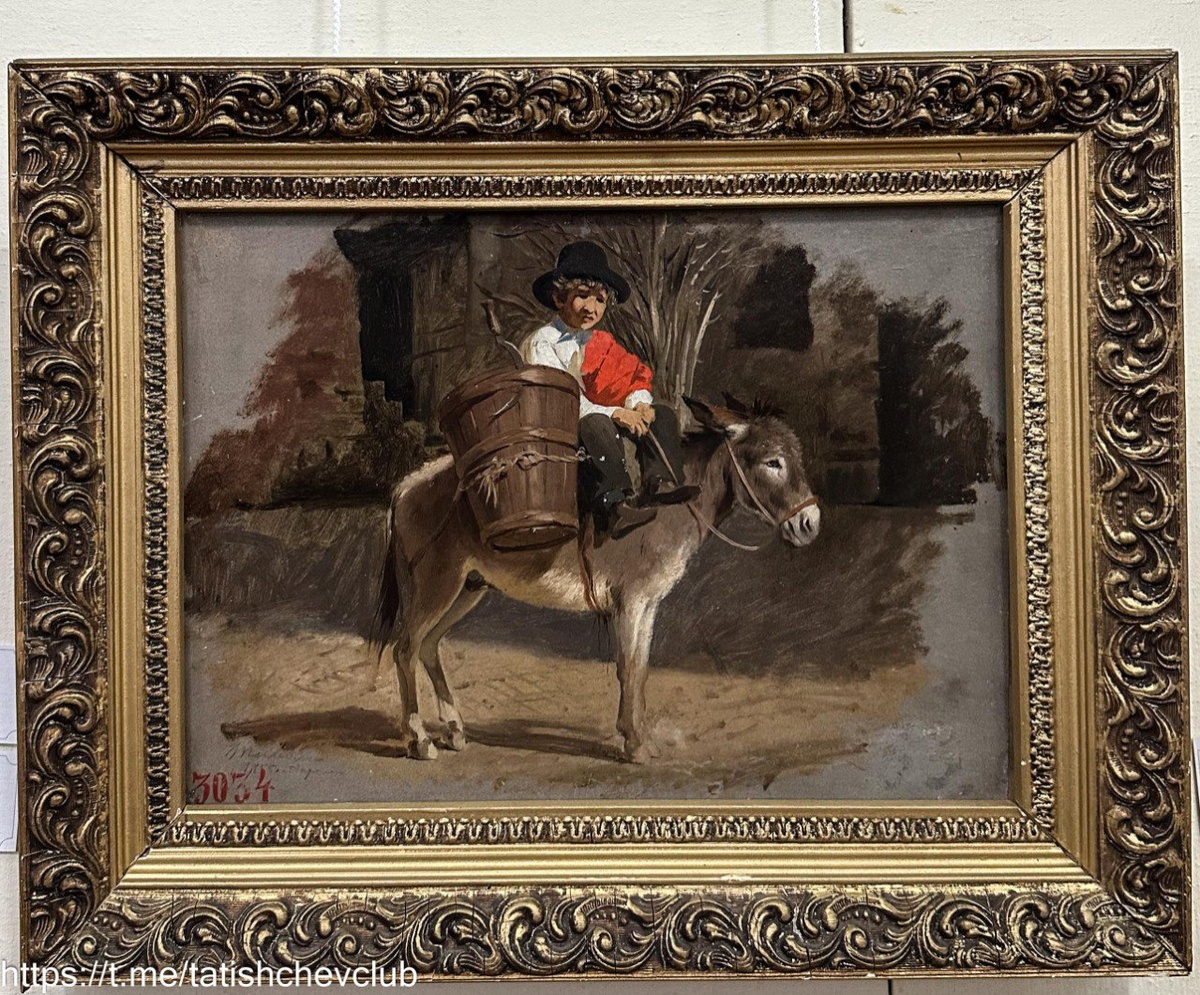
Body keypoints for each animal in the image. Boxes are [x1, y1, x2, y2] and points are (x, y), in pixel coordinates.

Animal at [371, 395, 821, 763]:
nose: (810, 523)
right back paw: (419, 740)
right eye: (772, 462)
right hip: (437, 584)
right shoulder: (630, 601)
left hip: (468, 587)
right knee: (405, 648)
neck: (668, 505)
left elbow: (641, 668)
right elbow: (627, 668)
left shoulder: (649, 603)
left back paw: (454, 731)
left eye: (795, 457)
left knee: (429, 646)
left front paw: (640, 737)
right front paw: (634, 745)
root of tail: (408, 483)